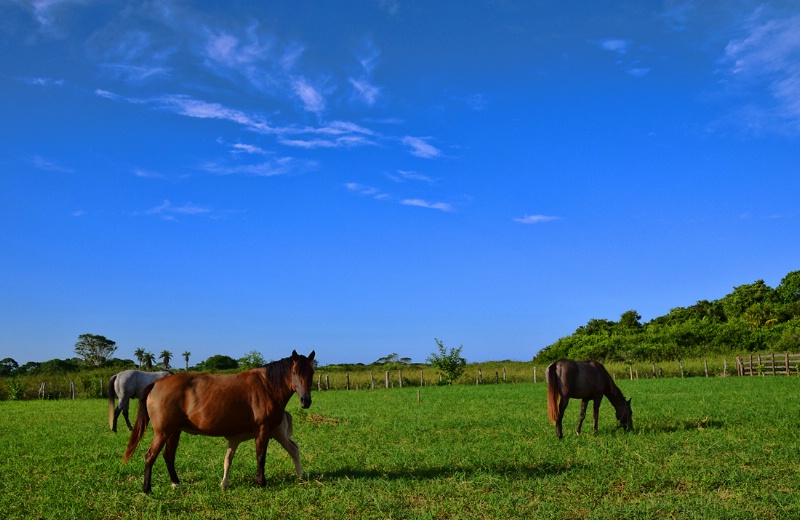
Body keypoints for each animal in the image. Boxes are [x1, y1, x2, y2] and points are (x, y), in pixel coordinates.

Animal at [123, 350, 314, 492]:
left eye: (311, 373)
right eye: (294, 372)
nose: (305, 401)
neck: (266, 386)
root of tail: (156, 384)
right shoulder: (263, 429)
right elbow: (260, 455)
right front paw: (261, 482)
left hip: (174, 431)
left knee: (168, 456)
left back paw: (176, 483)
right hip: (162, 432)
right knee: (150, 455)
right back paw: (147, 489)